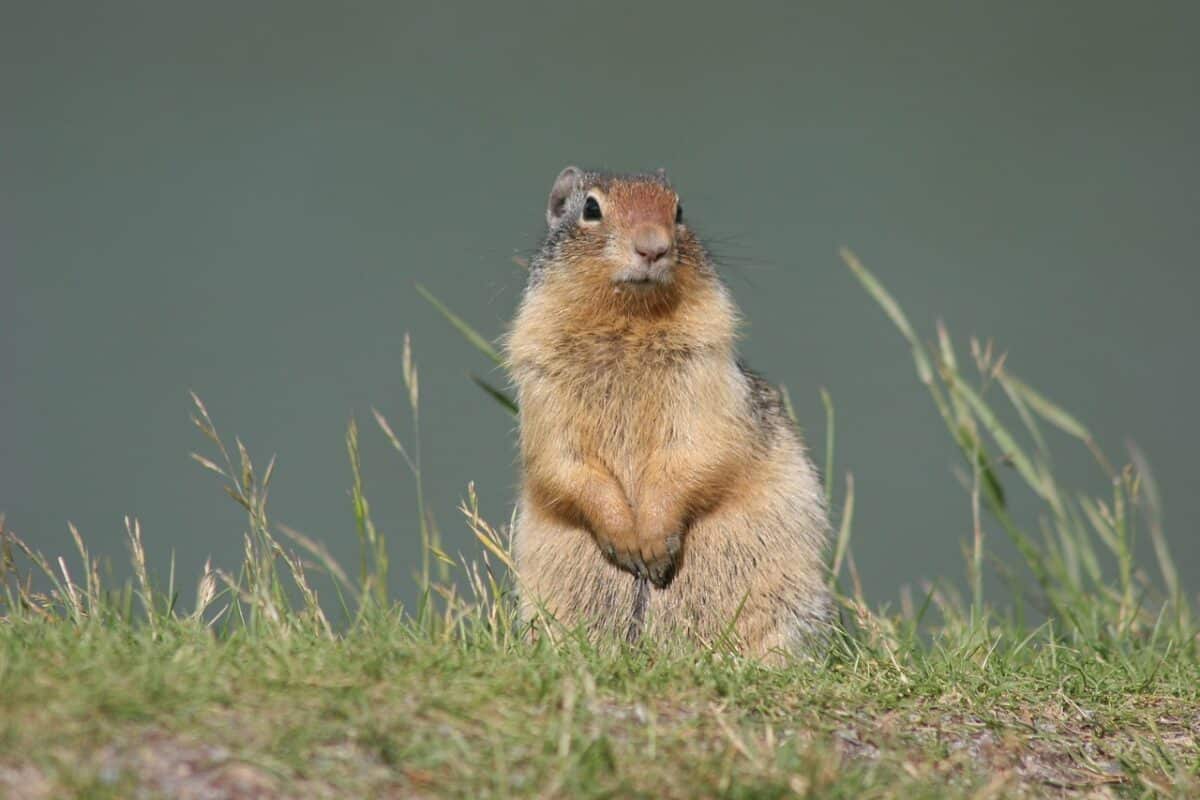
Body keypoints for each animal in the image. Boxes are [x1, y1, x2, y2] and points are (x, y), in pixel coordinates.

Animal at [505, 166, 831, 659]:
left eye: (678, 210)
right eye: (591, 208)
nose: (653, 247)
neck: (627, 321)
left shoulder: (704, 373)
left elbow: (698, 451)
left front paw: (655, 547)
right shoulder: (541, 384)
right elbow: (562, 462)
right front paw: (626, 541)